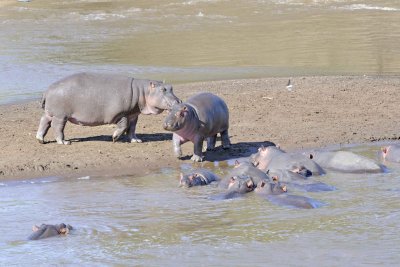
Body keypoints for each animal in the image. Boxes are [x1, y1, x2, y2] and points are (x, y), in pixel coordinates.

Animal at [36, 72, 180, 146]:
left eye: (171, 87)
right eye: (163, 89)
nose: (179, 101)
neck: (142, 91)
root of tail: (47, 90)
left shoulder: (133, 114)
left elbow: (132, 128)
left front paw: (136, 140)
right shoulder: (119, 114)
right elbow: (124, 125)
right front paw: (114, 138)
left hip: (51, 113)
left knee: (44, 121)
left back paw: (40, 140)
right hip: (61, 115)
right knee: (57, 126)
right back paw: (64, 142)